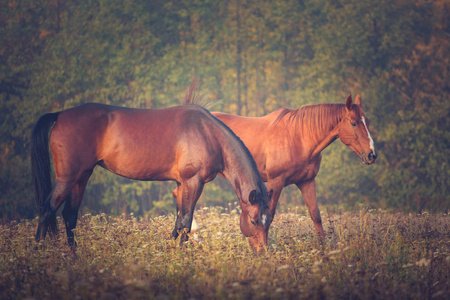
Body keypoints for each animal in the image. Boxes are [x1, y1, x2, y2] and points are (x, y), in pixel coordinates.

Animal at [31, 87, 272, 253]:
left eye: (269, 221)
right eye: (253, 221)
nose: (262, 252)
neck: (208, 133)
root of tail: (60, 114)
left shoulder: (181, 184)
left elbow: (180, 222)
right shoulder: (193, 182)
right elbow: (185, 222)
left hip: (81, 177)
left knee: (69, 216)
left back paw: (74, 256)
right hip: (67, 178)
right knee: (46, 209)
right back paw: (38, 254)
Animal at [211, 95, 376, 238]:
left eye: (367, 122)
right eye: (353, 123)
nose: (372, 154)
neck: (298, 138)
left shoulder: (307, 182)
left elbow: (316, 216)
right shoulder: (275, 182)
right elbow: (269, 215)